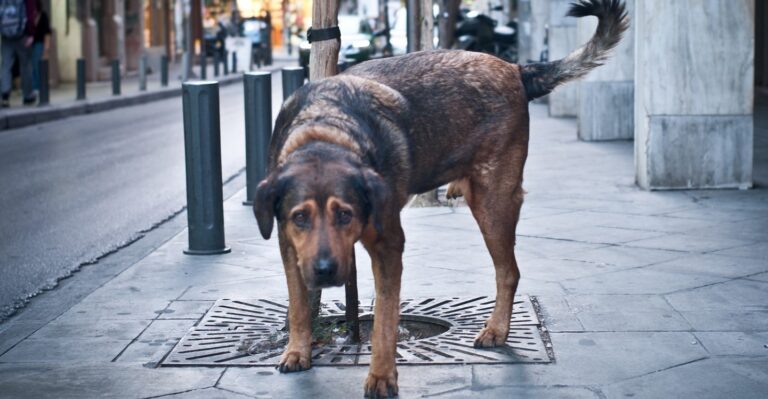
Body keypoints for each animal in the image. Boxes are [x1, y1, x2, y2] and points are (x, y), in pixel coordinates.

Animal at [255, 0, 628, 396]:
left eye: (345, 214)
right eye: (300, 217)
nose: (325, 271)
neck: (326, 130)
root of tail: (515, 69)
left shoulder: (388, 244)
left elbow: (385, 319)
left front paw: (381, 375)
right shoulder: (289, 244)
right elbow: (298, 303)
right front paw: (298, 350)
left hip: (492, 201)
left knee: (508, 271)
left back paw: (497, 328)